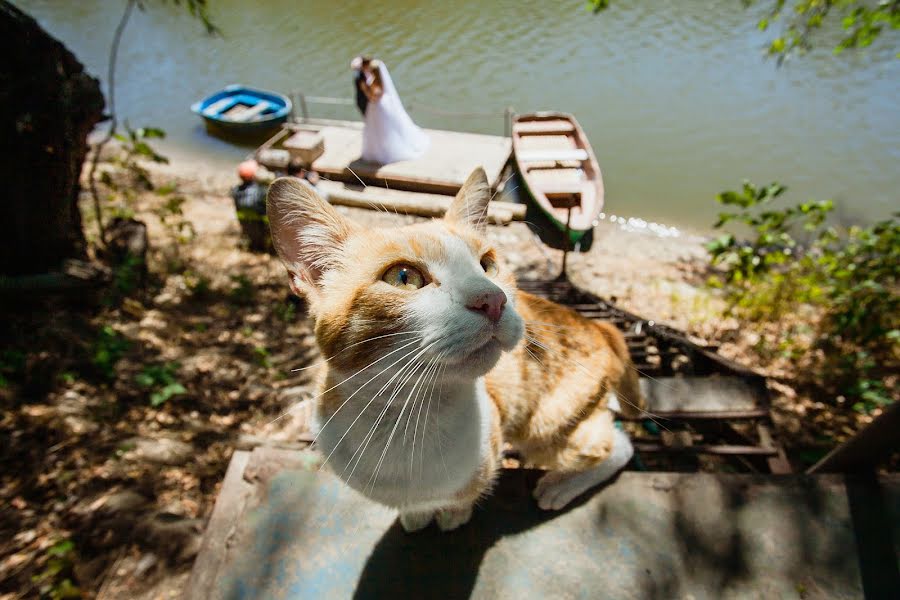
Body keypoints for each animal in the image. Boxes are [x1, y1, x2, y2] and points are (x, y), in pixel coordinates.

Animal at [268, 166, 648, 532]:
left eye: (487, 265)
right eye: (404, 277)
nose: (493, 299)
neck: (405, 420)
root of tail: (598, 325)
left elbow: (462, 497)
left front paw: (453, 515)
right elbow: (416, 506)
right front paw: (416, 515)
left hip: (546, 428)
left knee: (616, 446)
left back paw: (560, 485)